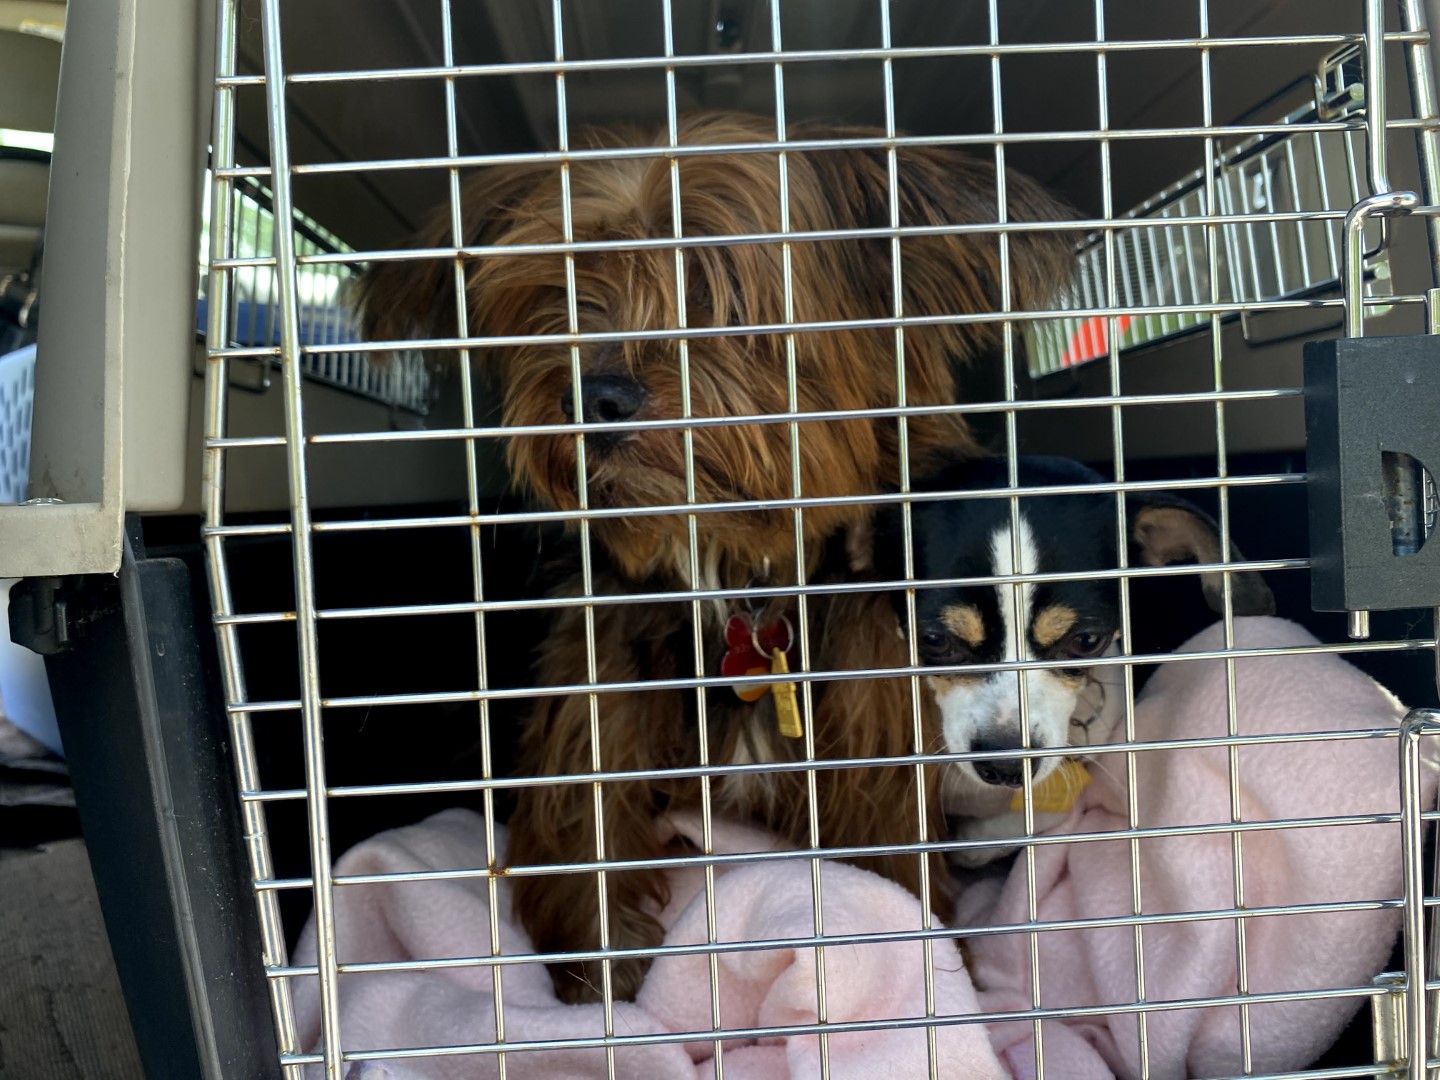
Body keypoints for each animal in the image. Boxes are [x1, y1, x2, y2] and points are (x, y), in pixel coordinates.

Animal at [357, 111, 1077, 1003]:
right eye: (560, 294)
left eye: (716, 287)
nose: (593, 394)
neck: (738, 579)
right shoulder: (601, 689)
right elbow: (585, 821)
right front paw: (604, 974)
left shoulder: (873, 725)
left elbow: (889, 864)